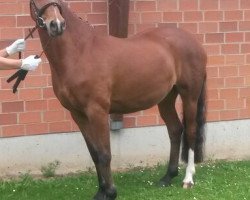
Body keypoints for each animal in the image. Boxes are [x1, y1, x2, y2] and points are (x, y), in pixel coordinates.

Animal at [29, 0, 207, 199]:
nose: (57, 25)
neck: (79, 52)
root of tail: (193, 41)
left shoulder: (97, 111)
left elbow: (104, 153)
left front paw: (111, 192)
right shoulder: (78, 114)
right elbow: (94, 153)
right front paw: (101, 191)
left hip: (190, 96)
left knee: (190, 132)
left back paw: (188, 179)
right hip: (166, 99)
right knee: (175, 130)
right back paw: (168, 177)